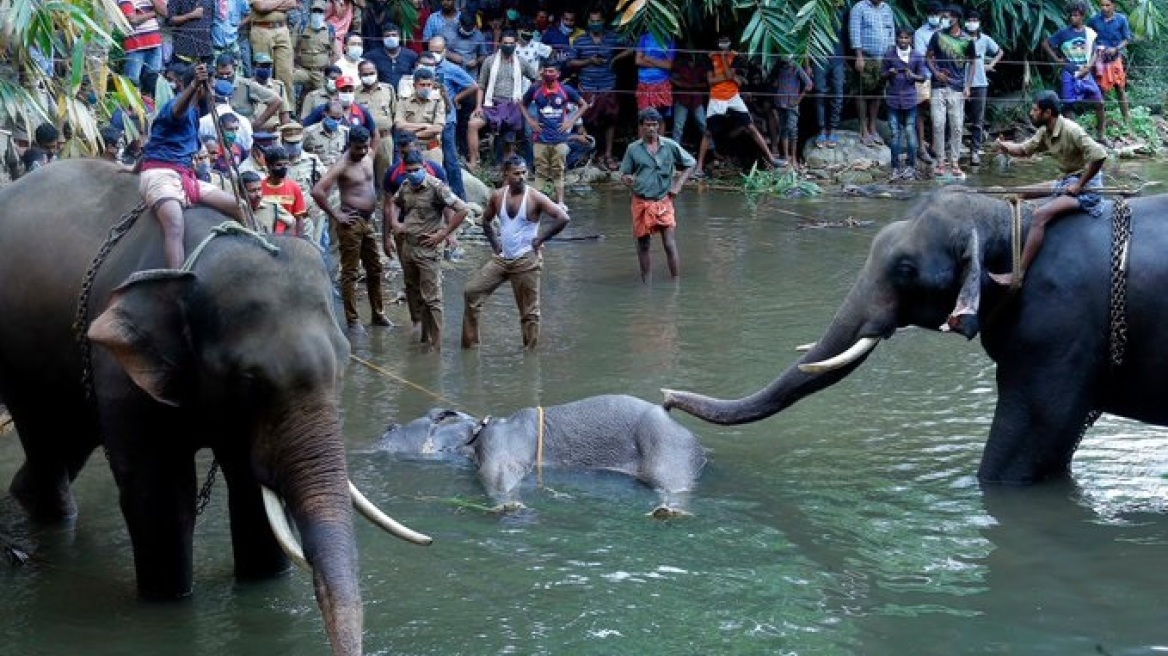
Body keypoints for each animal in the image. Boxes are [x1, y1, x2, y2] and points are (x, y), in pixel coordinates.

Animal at [0, 159, 432, 653]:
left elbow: (250, 491)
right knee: (47, 440)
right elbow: (163, 498)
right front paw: (168, 602)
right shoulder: (120, 370)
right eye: (249, 379)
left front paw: (262, 584)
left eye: (343, 365)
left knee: (64, 443)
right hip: (20, 362)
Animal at [378, 392, 705, 515]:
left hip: (666, 449)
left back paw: (668, 511)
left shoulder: (500, 447)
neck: (473, 433)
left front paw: (509, 506)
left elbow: (498, 477)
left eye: (392, 428)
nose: (386, 428)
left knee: (674, 485)